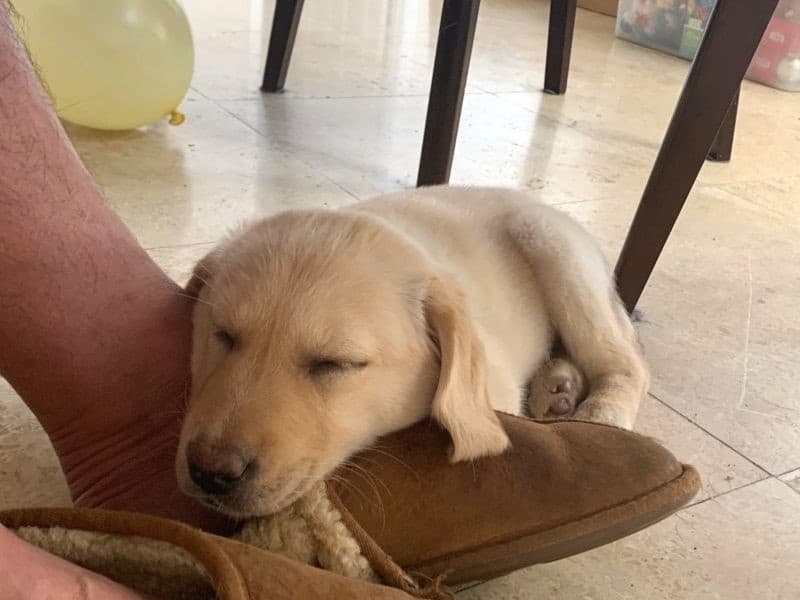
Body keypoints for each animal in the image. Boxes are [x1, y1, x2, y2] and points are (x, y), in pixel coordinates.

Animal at [177, 186, 648, 516]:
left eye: (337, 364)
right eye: (223, 335)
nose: (209, 472)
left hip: (553, 246)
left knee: (628, 363)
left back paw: (600, 413)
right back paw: (558, 387)